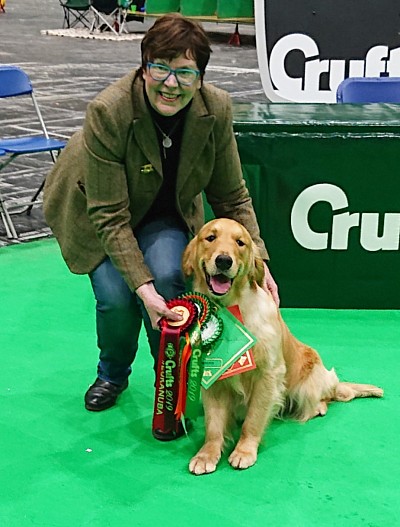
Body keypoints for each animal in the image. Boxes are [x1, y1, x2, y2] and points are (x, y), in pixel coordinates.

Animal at [182, 218, 384, 474]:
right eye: (210, 237)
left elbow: (254, 419)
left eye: (240, 242)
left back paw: (319, 406)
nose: (224, 260)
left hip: (308, 384)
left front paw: (244, 451)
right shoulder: (213, 375)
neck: (232, 308)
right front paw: (207, 454)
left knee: (324, 397)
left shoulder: (269, 374)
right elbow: (214, 424)